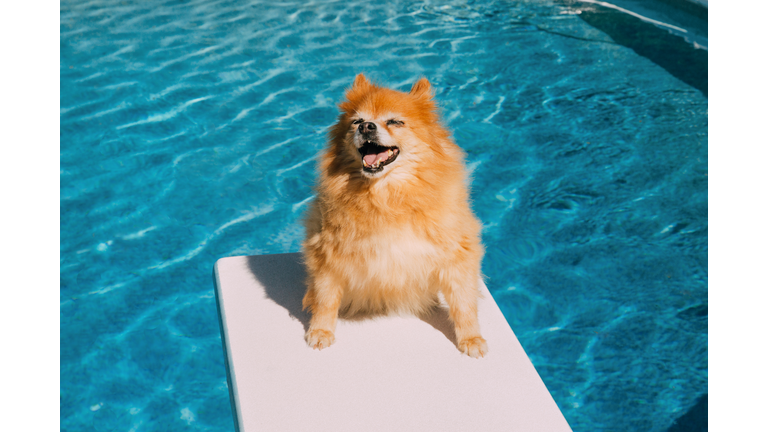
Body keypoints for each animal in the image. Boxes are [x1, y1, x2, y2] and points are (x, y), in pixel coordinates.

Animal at [300, 73, 486, 358]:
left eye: (395, 122)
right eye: (356, 121)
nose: (366, 127)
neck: (387, 196)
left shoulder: (457, 252)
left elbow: (464, 301)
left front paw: (471, 337)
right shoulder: (328, 253)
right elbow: (325, 297)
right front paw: (321, 330)